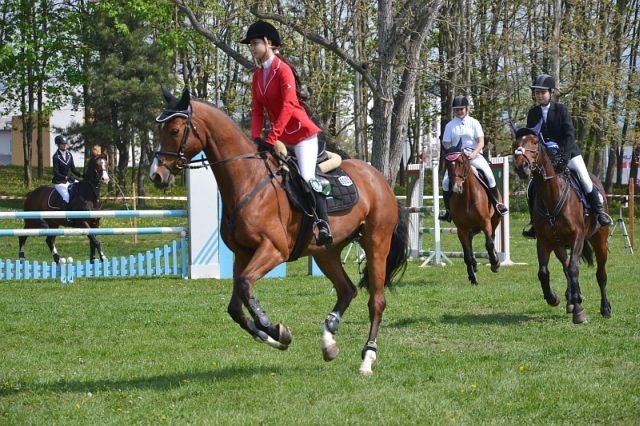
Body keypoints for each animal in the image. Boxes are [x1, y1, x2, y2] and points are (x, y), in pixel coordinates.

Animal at [150, 88, 408, 375]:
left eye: (174, 130)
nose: (156, 176)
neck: (247, 179)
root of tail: (380, 180)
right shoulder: (243, 254)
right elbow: (236, 304)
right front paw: (273, 337)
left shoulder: (273, 250)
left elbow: (245, 285)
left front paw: (271, 326)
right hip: (326, 252)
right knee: (347, 290)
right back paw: (329, 341)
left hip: (376, 244)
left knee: (376, 301)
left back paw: (367, 358)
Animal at [442, 141, 502, 284]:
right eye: (447, 163)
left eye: (461, 161)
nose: (456, 187)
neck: (467, 197)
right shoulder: (461, 229)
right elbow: (467, 254)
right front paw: (472, 277)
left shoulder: (485, 222)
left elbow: (489, 244)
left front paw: (495, 263)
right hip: (470, 228)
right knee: (470, 242)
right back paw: (474, 265)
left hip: (495, 220)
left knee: (492, 237)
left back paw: (495, 260)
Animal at [512, 122, 611, 324]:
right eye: (515, 143)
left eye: (535, 142)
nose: (521, 167)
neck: (552, 195)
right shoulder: (544, 241)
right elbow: (544, 272)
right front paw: (554, 298)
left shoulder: (577, 238)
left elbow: (574, 269)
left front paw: (579, 312)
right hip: (559, 245)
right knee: (566, 267)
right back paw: (572, 300)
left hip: (600, 241)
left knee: (600, 274)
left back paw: (604, 308)